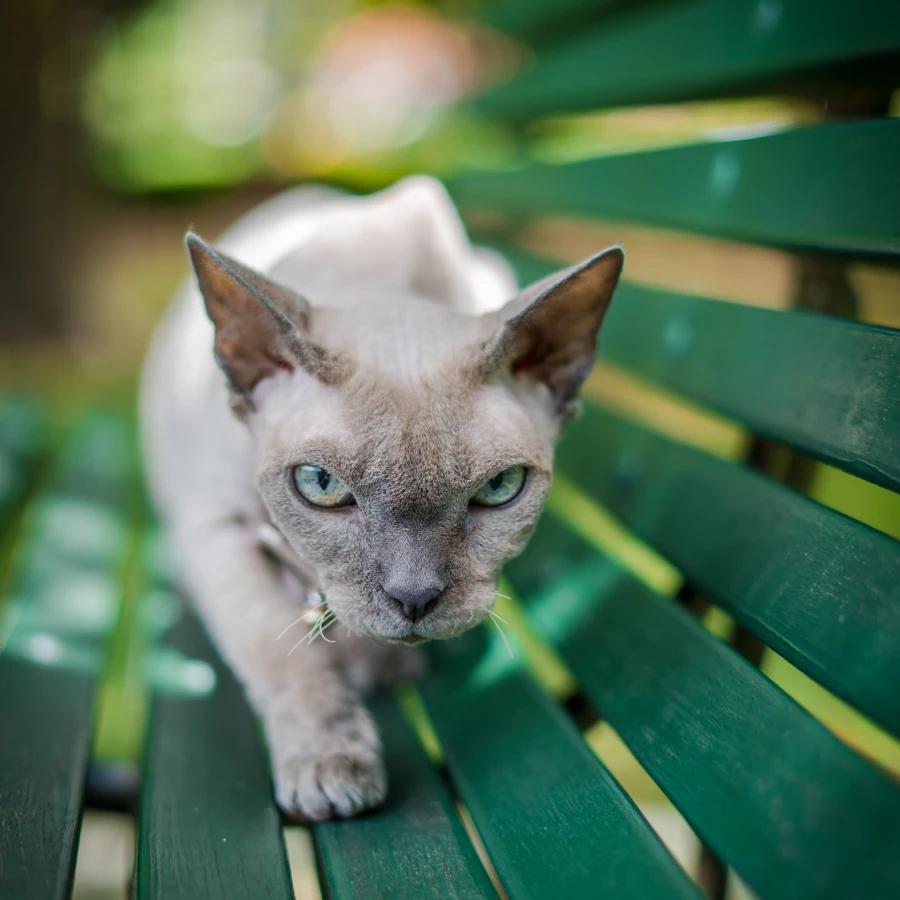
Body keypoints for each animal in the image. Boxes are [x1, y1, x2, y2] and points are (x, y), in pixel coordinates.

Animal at [141, 172, 624, 820]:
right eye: (321, 486)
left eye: (498, 489)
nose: (414, 599)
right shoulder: (217, 532)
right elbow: (283, 652)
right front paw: (330, 766)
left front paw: (377, 665)